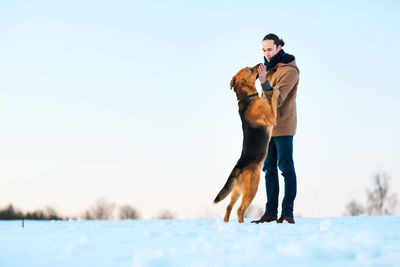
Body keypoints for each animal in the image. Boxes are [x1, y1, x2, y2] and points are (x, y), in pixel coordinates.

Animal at [214, 63, 280, 223]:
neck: (248, 97)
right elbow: (273, 100)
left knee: (228, 208)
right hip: (252, 189)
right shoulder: (272, 117)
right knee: (239, 210)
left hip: (236, 191)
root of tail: (238, 166)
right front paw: (275, 90)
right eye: (250, 70)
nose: (260, 64)